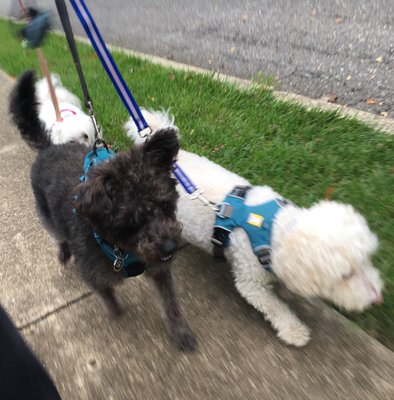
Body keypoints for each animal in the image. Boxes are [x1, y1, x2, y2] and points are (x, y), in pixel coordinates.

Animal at [7, 70, 195, 352]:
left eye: (165, 205)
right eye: (132, 222)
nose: (171, 247)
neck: (122, 248)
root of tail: (51, 145)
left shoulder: (158, 266)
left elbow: (170, 301)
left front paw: (180, 331)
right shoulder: (94, 273)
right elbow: (106, 294)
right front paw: (115, 310)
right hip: (45, 212)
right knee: (56, 233)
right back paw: (63, 250)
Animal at [124, 109, 384, 346]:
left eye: (367, 260)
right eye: (345, 275)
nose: (378, 299)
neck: (275, 227)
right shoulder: (251, 281)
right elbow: (275, 307)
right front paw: (294, 330)